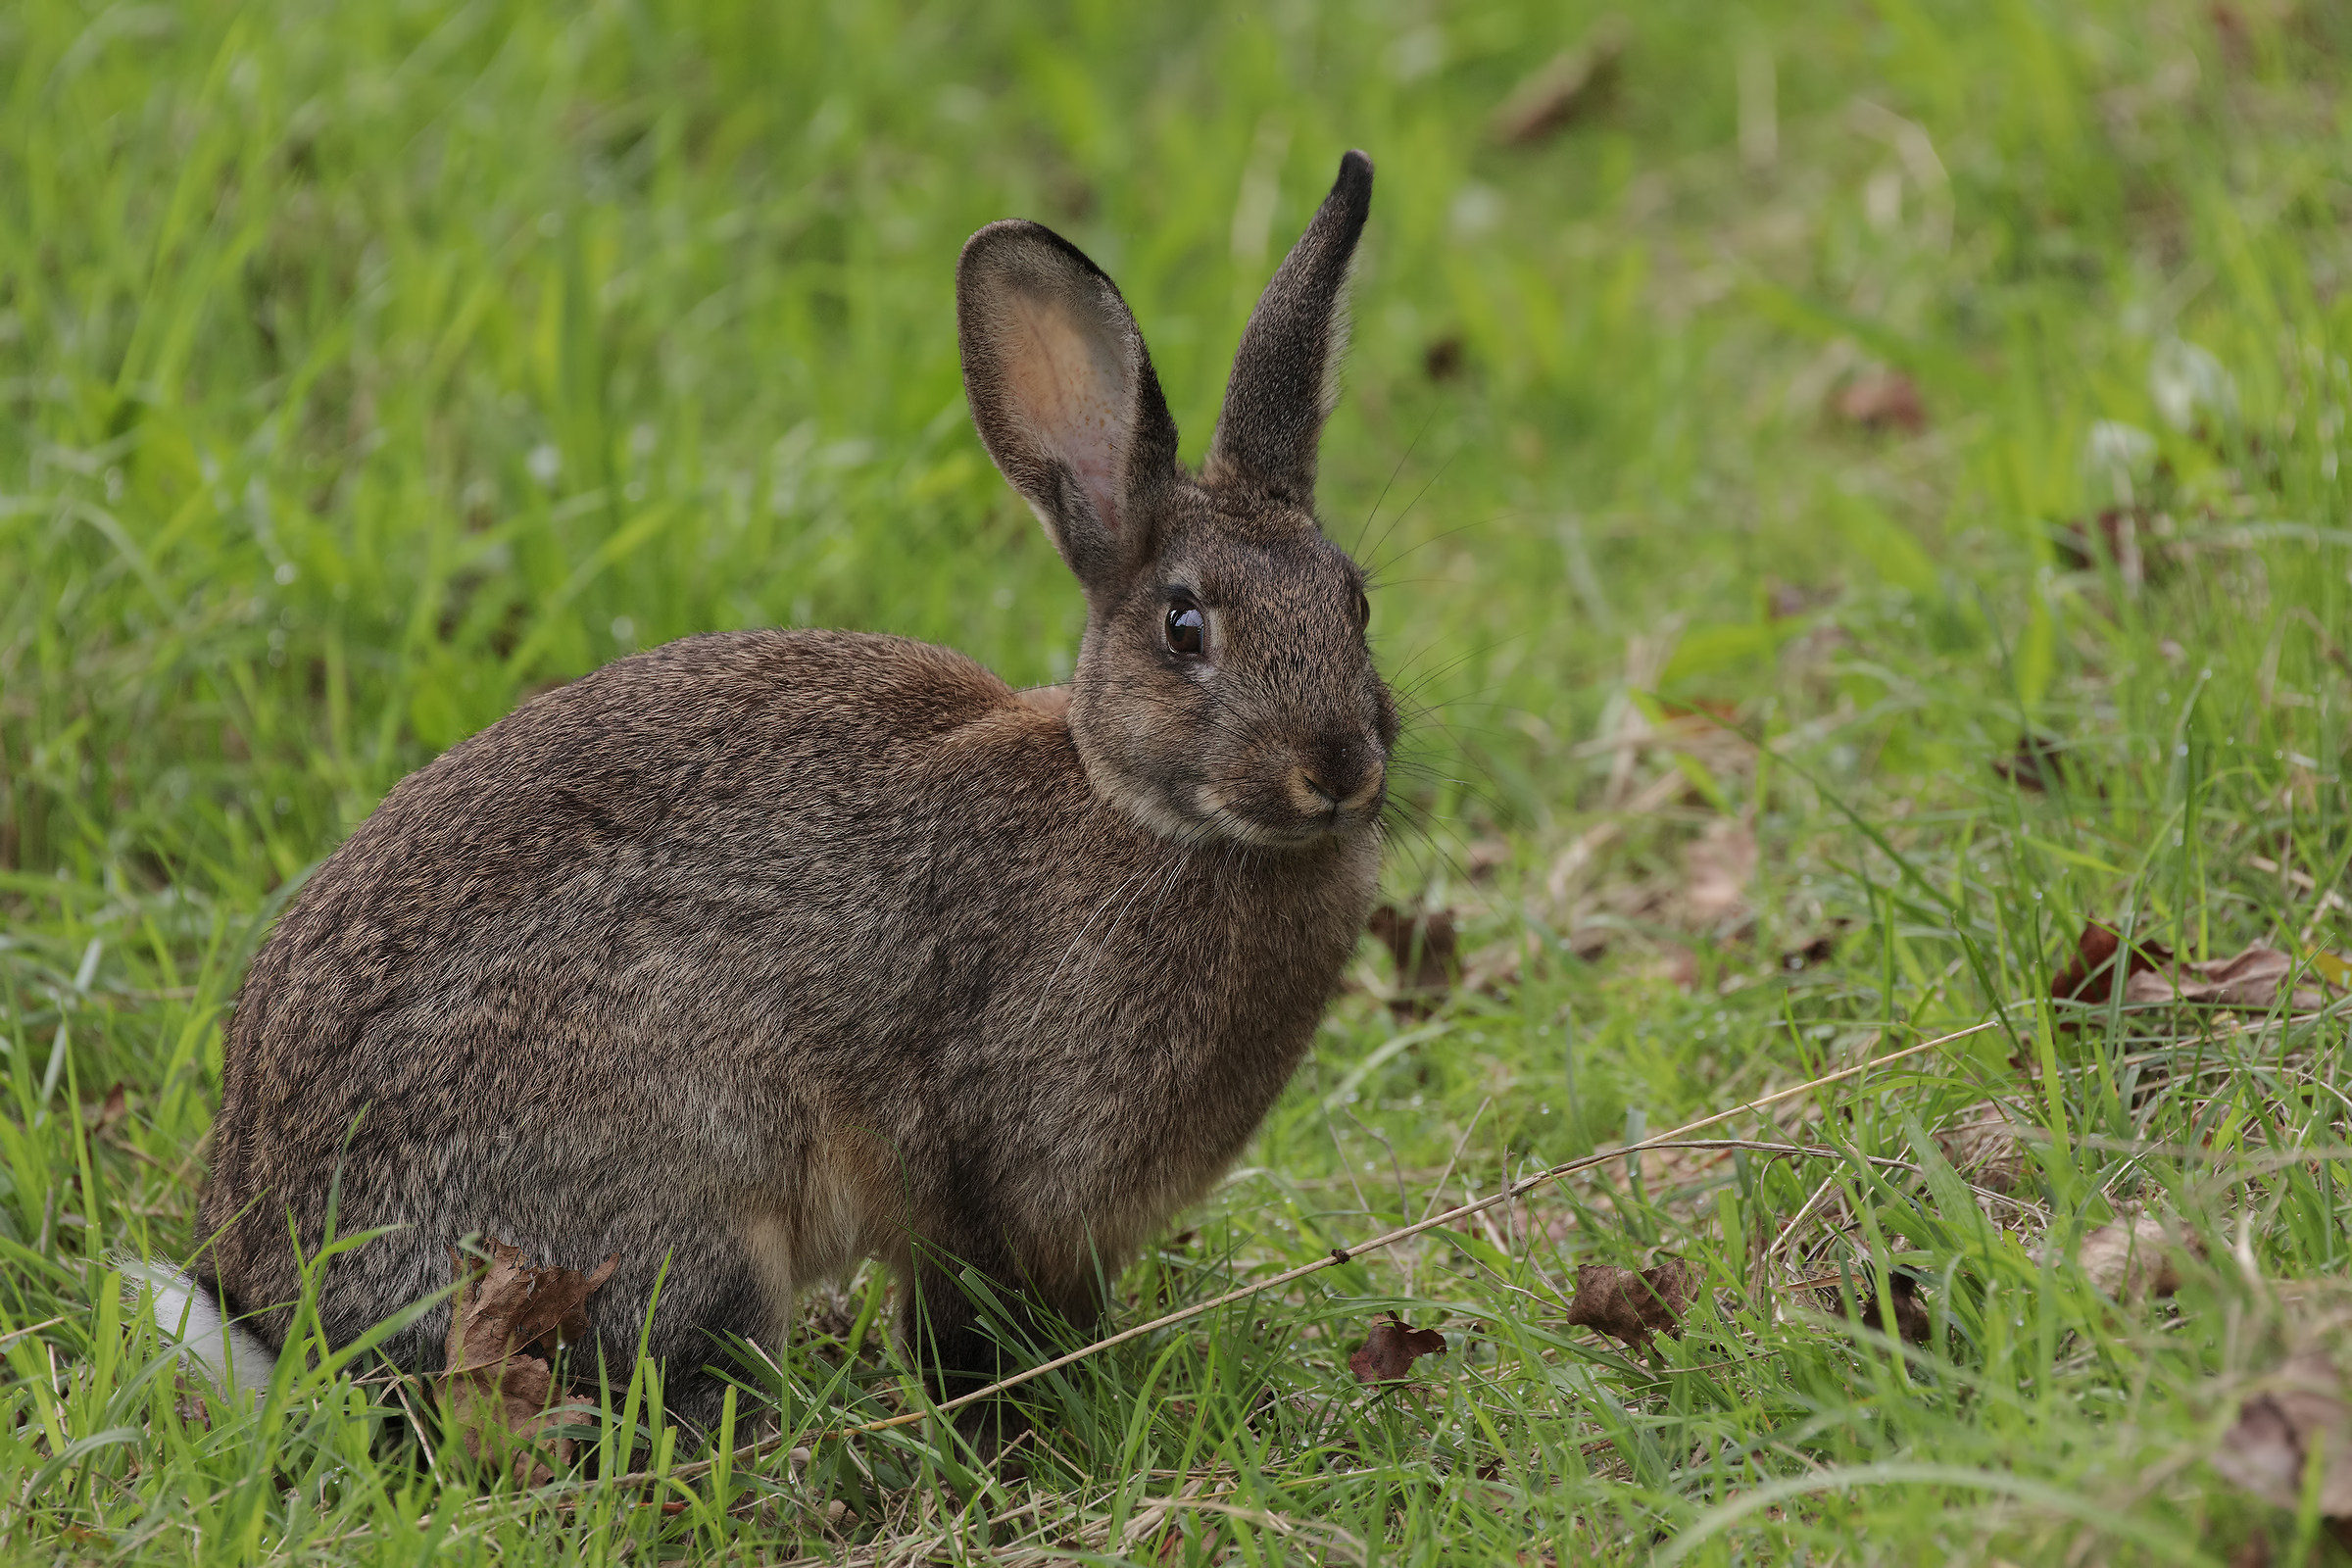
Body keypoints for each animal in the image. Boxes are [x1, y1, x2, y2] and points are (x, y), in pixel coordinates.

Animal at [162, 150, 1394, 1437]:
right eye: (1185, 627)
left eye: (1354, 603)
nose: (1339, 769)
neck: (1138, 809)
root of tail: (281, 1317)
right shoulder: (985, 1169)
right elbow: (967, 1313)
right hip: (681, 1199)